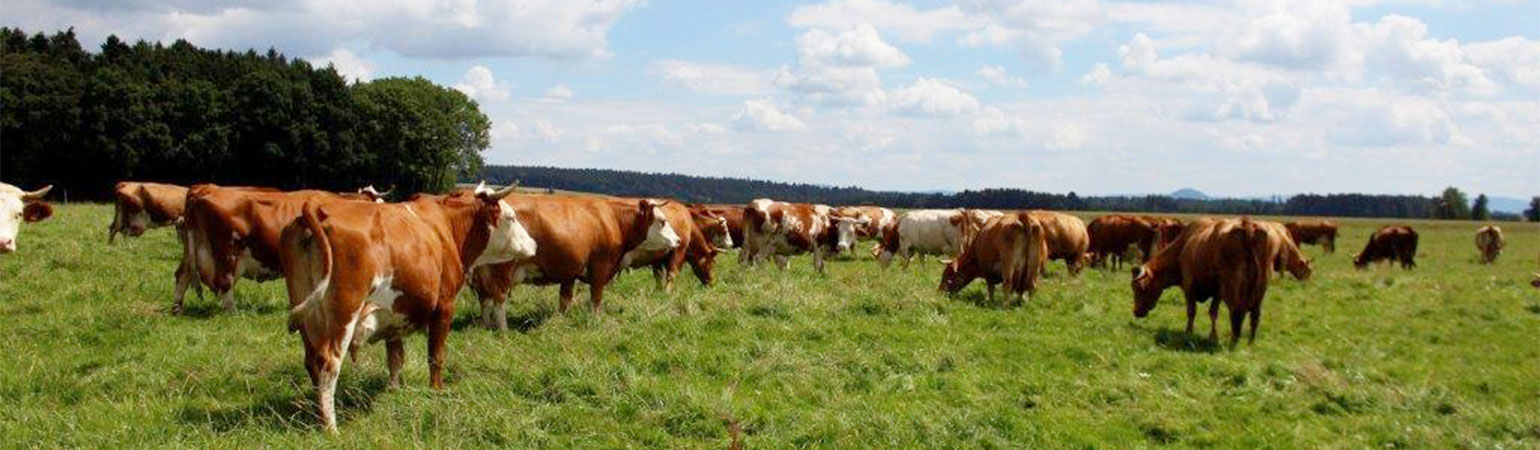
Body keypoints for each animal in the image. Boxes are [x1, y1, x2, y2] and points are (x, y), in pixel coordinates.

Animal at [178, 185, 369, 314]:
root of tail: (206, 190)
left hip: (192, 248)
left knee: (182, 273)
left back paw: (177, 308)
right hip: (226, 250)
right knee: (225, 281)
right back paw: (232, 311)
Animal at [279, 183, 537, 432]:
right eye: (511, 217)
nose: (533, 244)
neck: (447, 227)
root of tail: (318, 207)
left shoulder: (394, 317)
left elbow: (396, 359)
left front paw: (393, 392)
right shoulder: (445, 306)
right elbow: (435, 356)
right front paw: (436, 390)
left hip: (308, 318)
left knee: (312, 362)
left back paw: (316, 414)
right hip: (344, 314)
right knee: (328, 364)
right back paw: (330, 428)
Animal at [468, 193, 682, 328]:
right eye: (662, 221)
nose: (679, 240)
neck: (613, 219)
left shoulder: (569, 272)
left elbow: (565, 300)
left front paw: (562, 320)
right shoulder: (600, 268)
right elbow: (596, 298)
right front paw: (594, 321)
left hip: (483, 273)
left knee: (485, 299)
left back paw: (485, 326)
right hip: (504, 268)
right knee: (499, 299)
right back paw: (502, 330)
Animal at [1131, 217, 1275, 347]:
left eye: (1139, 287)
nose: (1136, 311)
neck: (1183, 246)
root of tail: (1246, 224)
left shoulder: (1189, 285)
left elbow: (1191, 311)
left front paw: (1188, 332)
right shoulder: (1217, 292)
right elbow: (1213, 313)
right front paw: (1213, 336)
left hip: (1232, 287)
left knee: (1237, 313)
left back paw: (1233, 342)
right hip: (1261, 287)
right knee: (1255, 316)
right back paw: (1250, 342)